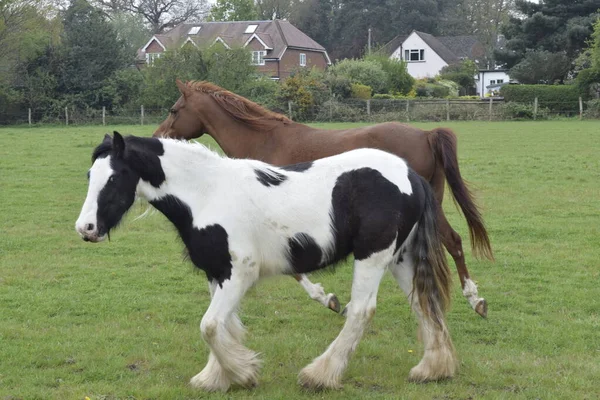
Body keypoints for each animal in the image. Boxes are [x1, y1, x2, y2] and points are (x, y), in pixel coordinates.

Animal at [77, 131, 458, 390]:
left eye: (114, 177)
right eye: (89, 175)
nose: (86, 228)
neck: (207, 192)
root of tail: (412, 176)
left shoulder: (239, 273)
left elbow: (210, 325)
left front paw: (243, 373)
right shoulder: (217, 273)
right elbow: (224, 325)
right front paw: (217, 377)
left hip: (373, 258)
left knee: (361, 311)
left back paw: (319, 375)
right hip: (400, 259)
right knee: (424, 303)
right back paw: (432, 369)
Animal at [155, 81, 492, 318]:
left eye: (174, 110)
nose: (159, 136)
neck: (265, 140)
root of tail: (426, 134)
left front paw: (327, 298)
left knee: (448, 242)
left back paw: (472, 299)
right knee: (452, 240)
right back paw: (475, 300)